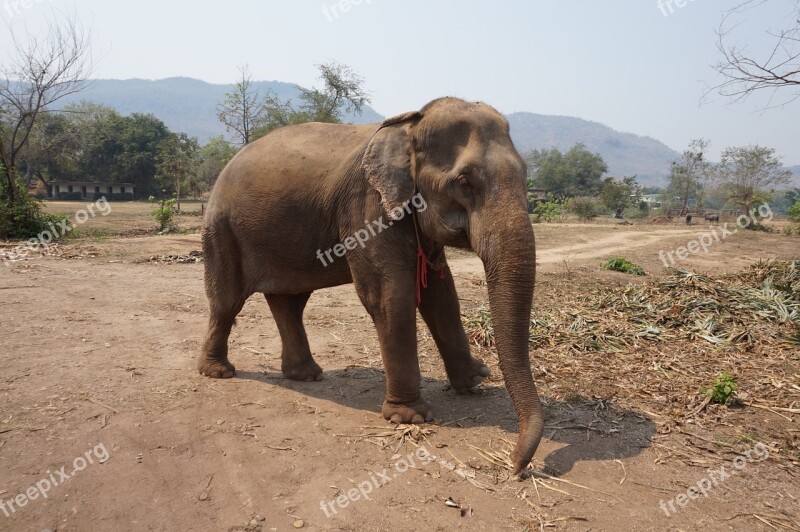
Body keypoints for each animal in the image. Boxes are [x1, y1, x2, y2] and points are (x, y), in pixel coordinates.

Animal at [202, 96, 544, 474]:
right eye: (464, 182)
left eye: (526, 174)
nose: (515, 466)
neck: (410, 126)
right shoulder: (367, 208)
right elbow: (389, 295)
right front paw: (409, 417)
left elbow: (441, 293)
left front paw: (473, 383)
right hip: (222, 230)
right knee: (227, 302)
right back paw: (219, 372)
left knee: (289, 301)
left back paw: (305, 375)